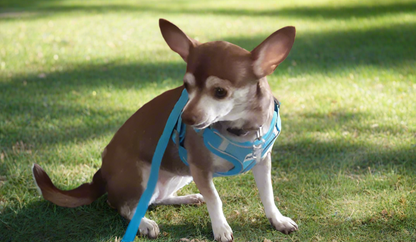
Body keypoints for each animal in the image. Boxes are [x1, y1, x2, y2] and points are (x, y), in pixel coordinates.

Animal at [33, 19, 300, 242]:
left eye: (220, 92)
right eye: (186, 86)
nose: (186, 117)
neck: (241, 129)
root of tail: (101, 174)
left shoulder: (262, 163)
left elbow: (267, 195)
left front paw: (278, 220)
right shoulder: (200, 168)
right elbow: (215, 199)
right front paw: (221, 228)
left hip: (181, 173)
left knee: (156, 198)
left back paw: (188, 198)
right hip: (142, 174)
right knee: (122, 205)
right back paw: (144, 224)